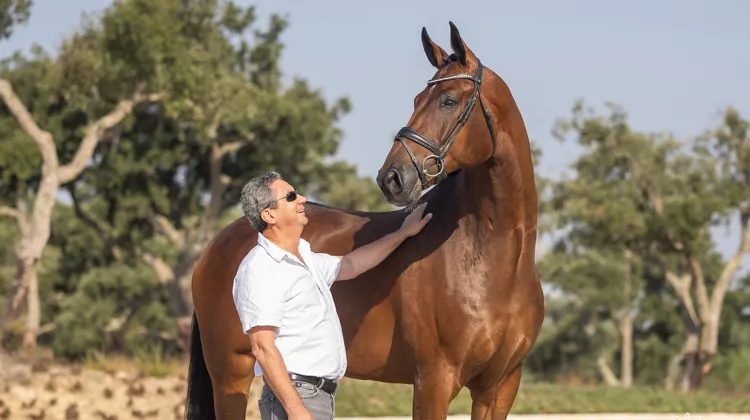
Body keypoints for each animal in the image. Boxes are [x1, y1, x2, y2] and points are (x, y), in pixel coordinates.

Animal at [185, 21, 544, 420]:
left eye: (449, 100)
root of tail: (215, 247)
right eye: (417, 100)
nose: (392, 178)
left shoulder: (499, 386)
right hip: (231, 374)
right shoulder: (434, 379)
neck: (489, 261)